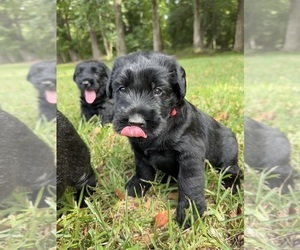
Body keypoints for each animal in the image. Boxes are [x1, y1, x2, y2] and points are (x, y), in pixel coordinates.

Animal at [106, 51, 240, 227]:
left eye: (158, 90)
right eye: (121, 88)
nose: (135, 122)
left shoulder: (191, 154)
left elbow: (190, 182)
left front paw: (190, 211)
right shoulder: (138, 150)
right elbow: (143, 168)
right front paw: (138, 185)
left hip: (228, 151)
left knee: (233, 170)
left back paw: (232, 185)